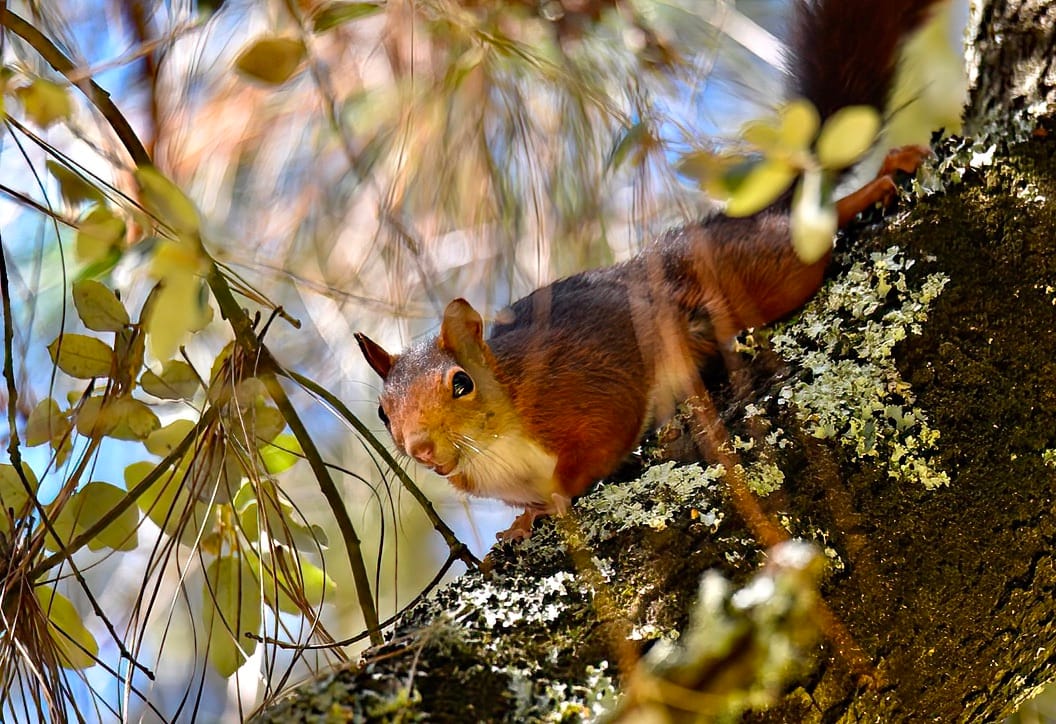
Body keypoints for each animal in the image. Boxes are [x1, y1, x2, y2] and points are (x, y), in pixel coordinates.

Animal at [356, 0, 947, 540]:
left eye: (461, 383)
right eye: (383, 412)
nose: (421, 449)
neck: (495, 439)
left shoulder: (580, 391)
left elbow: (597, 447)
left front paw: (549, 503)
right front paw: (518, 521)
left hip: (766, 271)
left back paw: (881, 177)